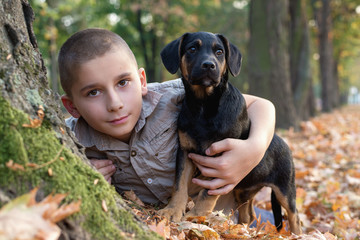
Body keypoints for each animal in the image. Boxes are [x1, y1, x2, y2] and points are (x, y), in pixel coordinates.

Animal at [159, 31, 302, 234]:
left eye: (219, 51)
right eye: (192, 49)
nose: (208, 65)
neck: (203, 106)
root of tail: (286, 146)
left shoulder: (221, 159)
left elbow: (207, 193)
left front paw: (196, 216)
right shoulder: (185, 151)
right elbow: (178, 185)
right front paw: (172, 211)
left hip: (285, 188)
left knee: (294, 215)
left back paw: (297, 235)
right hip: (244, 190)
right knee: (248, 215)